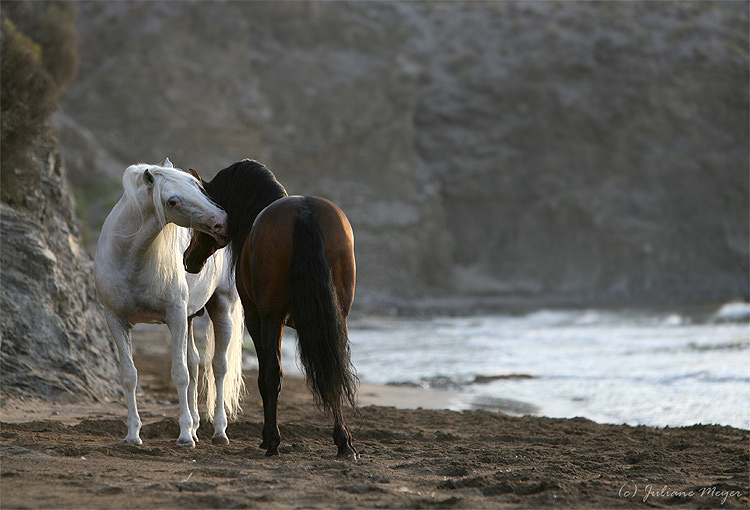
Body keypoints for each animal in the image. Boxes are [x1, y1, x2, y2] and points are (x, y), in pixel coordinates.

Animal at [94, 158, 247, 446]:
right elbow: (129, 376)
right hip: (190, 318)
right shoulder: (116, 320)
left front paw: (184, 436)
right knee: (195, 363)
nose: (223, 222)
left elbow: (179, 374)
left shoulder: (174, 316)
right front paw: (133, 435)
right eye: (173, 201)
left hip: (222, 307)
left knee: (218, 367)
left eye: (198, 188)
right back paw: (197, 426)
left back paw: (219, 431)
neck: (130, 260)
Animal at [182, 158, 358, 458]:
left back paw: (274, 442)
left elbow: (267, 376)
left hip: (272, 318)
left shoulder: (259, 319)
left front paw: (267, 438)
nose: (188, 259)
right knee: (334, 369)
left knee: (274, 373)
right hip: (337, 319)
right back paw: (344, 442)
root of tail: (304, 212)